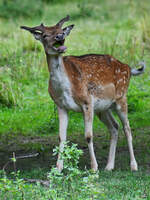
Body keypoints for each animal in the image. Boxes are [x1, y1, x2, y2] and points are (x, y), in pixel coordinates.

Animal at [20, 15, 145, 172]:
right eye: (45, 35)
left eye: (61, 30)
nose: (60, 36)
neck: (66, 87)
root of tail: (128, 68)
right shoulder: (61, 106)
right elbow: (61, 137)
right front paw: (58, 168)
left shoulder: (87, 102)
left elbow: (88, 136)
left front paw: (93, 167)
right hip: (103, 108)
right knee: (114, 127)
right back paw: (109, 166)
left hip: (121, 97)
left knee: (127, 128)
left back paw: (133, 166)